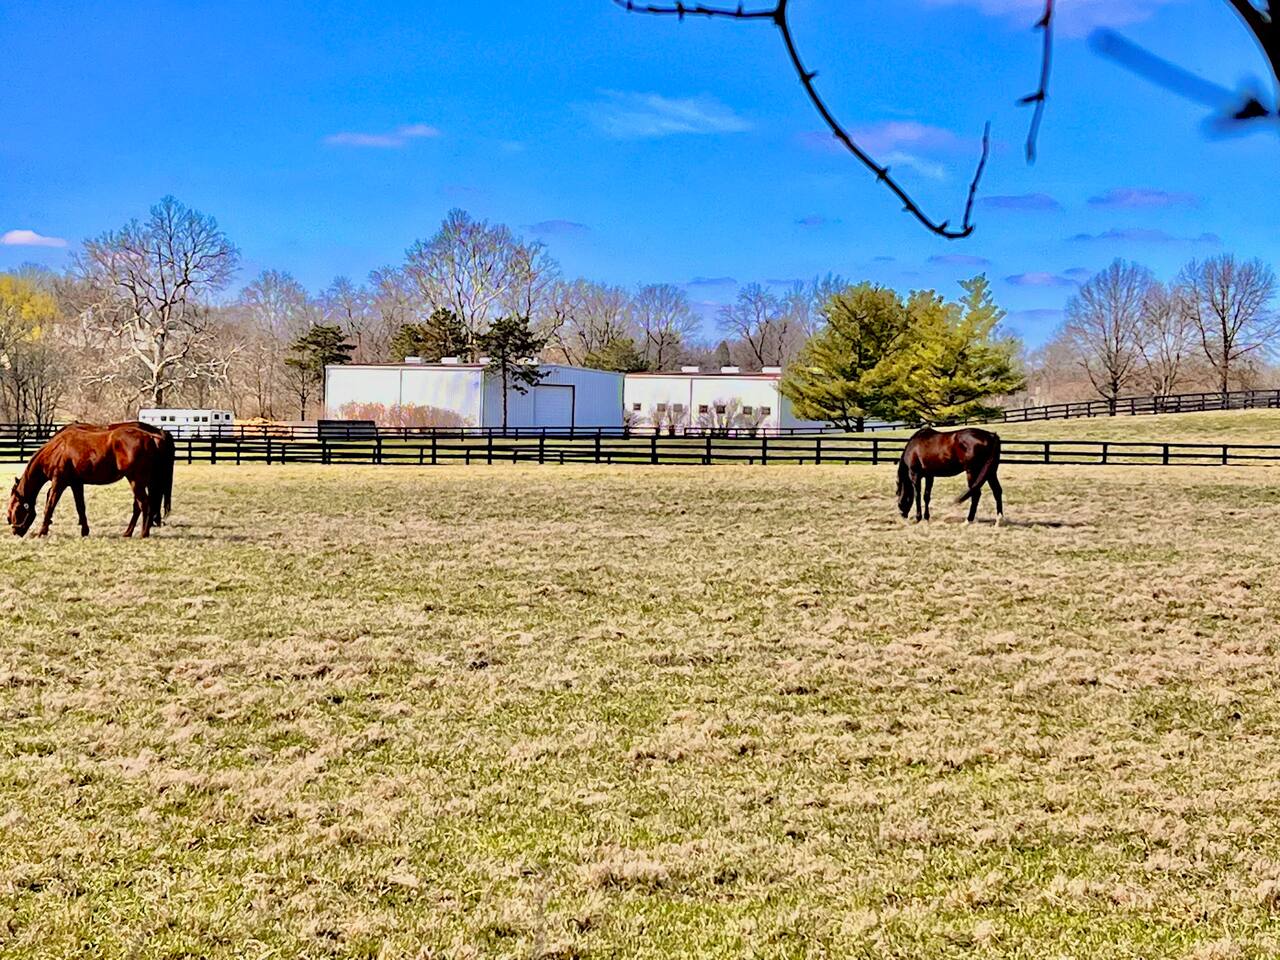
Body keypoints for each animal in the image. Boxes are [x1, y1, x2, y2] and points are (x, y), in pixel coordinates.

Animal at [8, 422, 174, 538]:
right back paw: (128, 532)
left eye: (15, 509)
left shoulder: (59, 483)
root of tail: (152, 437)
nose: (15, 531)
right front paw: (85, 531)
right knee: (140, 506)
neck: (58, 449)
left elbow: (50, 506)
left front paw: (42, 532)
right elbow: (80, 507)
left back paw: (143, 533)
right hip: (140, 481)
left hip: (136, 480)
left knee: (144, 504)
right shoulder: (76, 483)